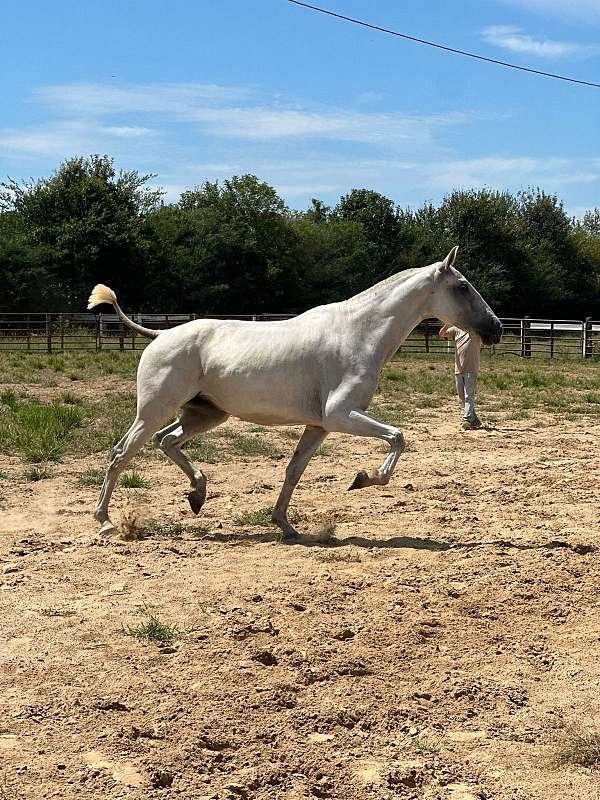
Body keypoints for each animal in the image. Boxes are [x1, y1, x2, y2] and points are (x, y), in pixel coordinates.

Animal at [89, 247, 502, 540]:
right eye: (462, 287)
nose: (496, 328)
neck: (358, 335)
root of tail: (160, 334)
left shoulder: (320, 425)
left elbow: (294, 470)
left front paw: (285, 526)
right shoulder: (340, 415)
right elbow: (398, 438)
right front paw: (363, 478)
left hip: (204, 414)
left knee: (166, 441)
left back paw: (197, 494)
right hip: (154, 410)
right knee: (121, 453)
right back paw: (106, 522)